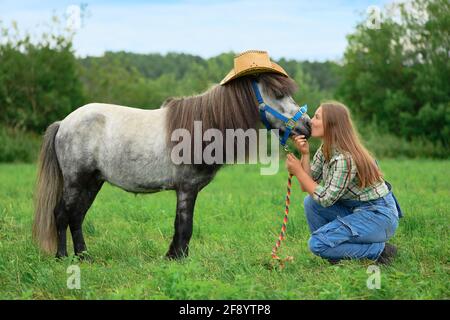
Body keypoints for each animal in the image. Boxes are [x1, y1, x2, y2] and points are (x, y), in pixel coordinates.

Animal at [33, 73, 312, 260]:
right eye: (278, 95)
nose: (307, 125)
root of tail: (64, 122)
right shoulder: (187, 188)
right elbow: (185, 225)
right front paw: (178, 258)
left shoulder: (186, 190)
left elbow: (181, 224)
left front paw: (175, 257)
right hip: (75, 181)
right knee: (62, 214)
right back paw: (63, 257)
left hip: (92, 182)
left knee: (77, 216)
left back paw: (84, 256)